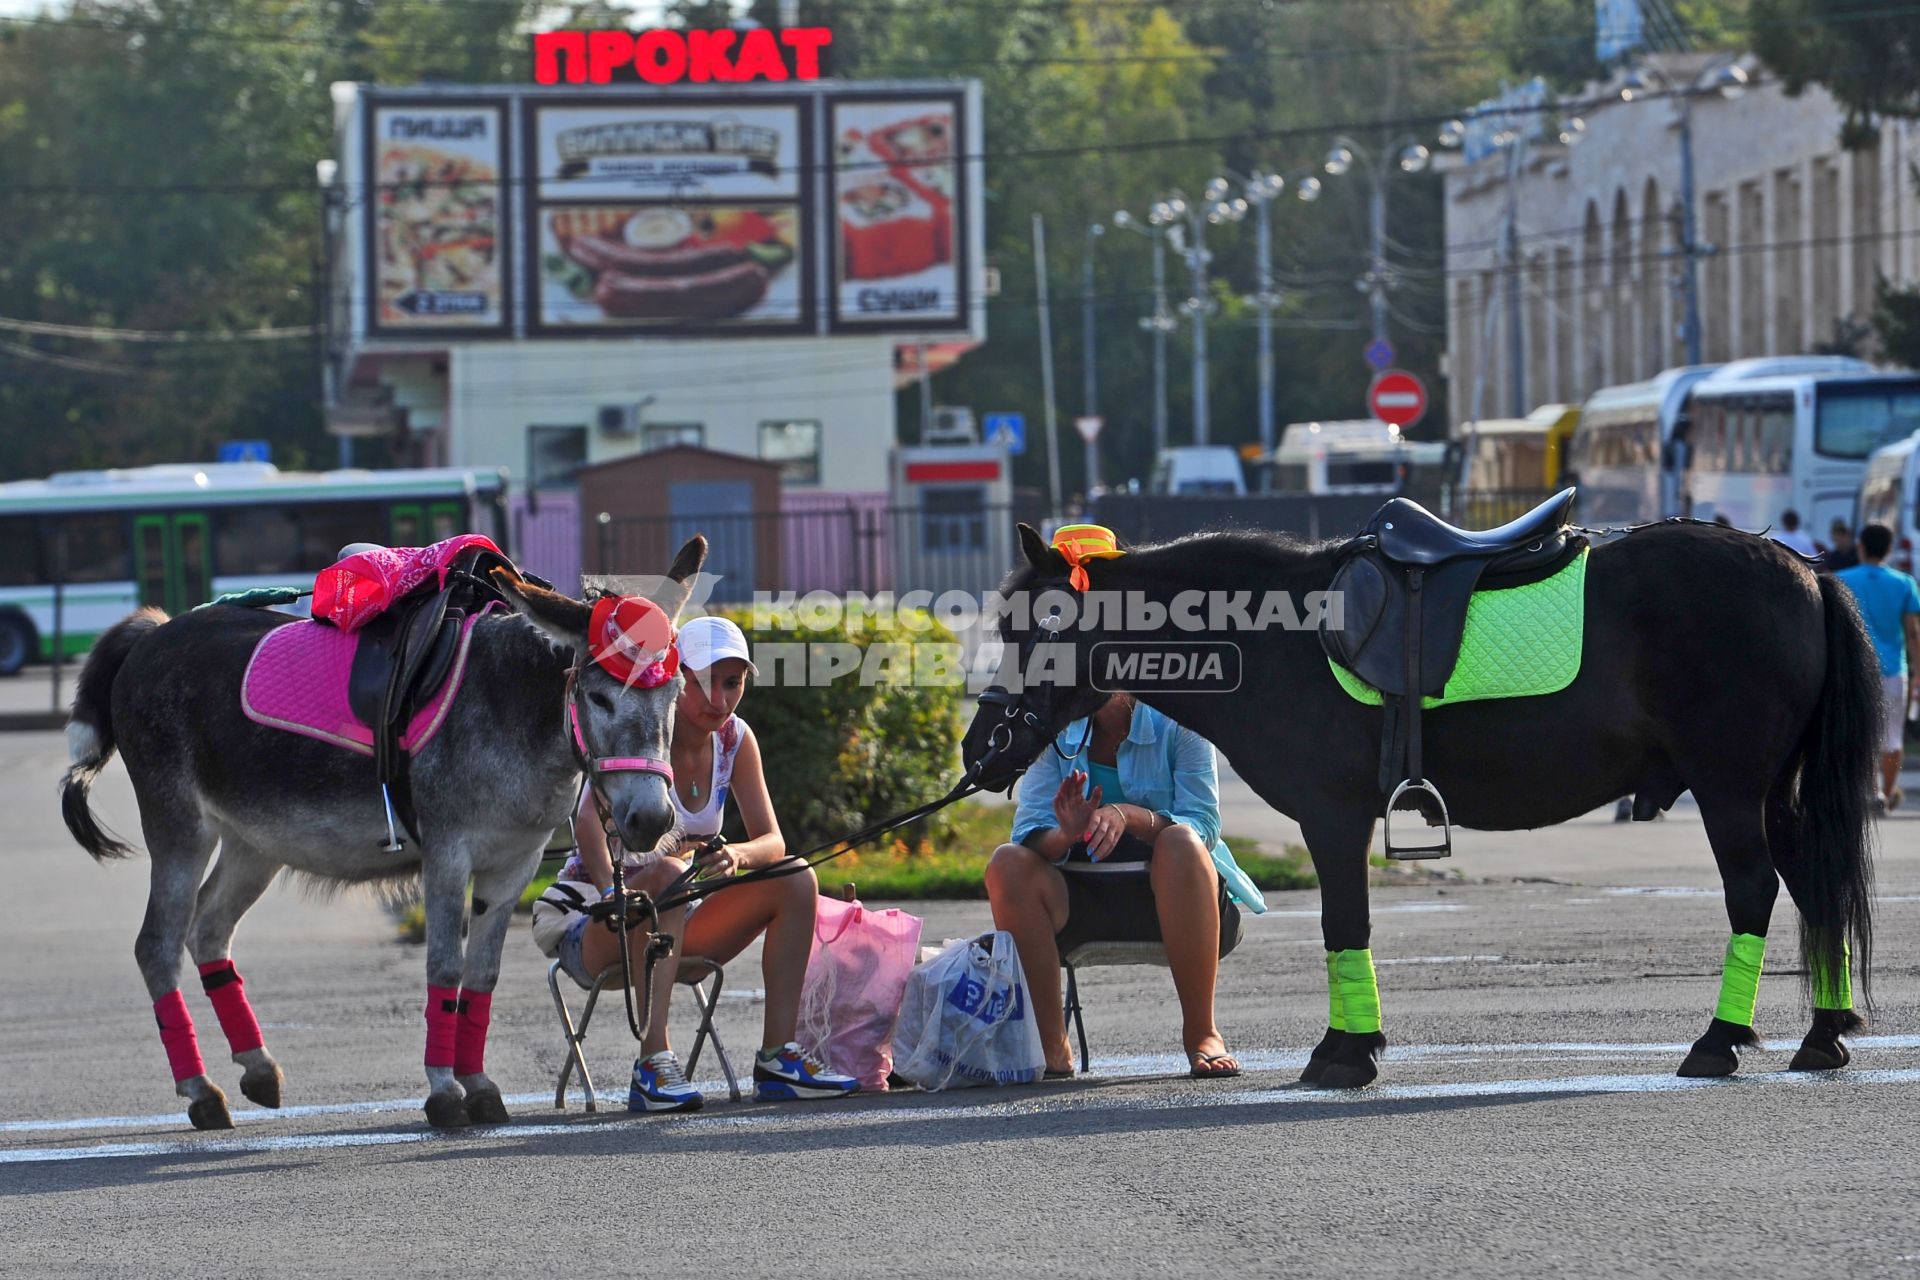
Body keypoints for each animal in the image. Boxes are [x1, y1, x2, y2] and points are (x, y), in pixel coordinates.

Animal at [61, 537, 706, 1128]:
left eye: (675, 692)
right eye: (598, 697)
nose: (652, 820)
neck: (505, 705)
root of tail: (151, 634)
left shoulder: (513, 864)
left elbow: (483, 976)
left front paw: (480, 1086)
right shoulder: (448, 856)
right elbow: (444, 967)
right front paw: (445, 1092)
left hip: (253, 844)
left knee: (210, 932)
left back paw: (258, 1070)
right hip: (180, 828)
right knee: (158, 946)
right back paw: (201, 1092)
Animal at [960, 521, 1873, 1090]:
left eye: (1036, 625)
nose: (981, 748)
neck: (1279, 637)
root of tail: (1807, 569)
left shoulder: (1332, 818)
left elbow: (1344, 925)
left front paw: (1346, 1052)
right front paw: (1351, 1045)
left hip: (1728, 790)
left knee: (1754, 892)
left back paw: (1719, 1042)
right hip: (1773, 794)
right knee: (1815, 887)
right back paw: (1822, 1035)